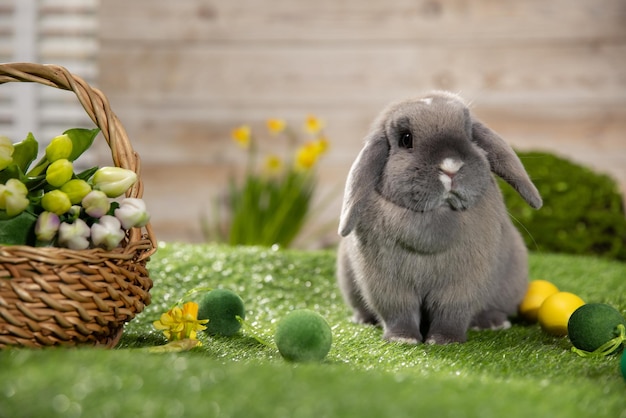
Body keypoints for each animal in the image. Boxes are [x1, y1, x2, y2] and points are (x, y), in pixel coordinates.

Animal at [336, 93, 540, 344]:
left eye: (469, 134)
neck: (439, 214)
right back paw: (362, 319)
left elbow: (450, 310)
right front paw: (403, 339)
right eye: (406, 139)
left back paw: (491, 323)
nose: (450, 166)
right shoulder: (387, 284)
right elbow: (399, 310)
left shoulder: (461, 284)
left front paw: (445, 340)